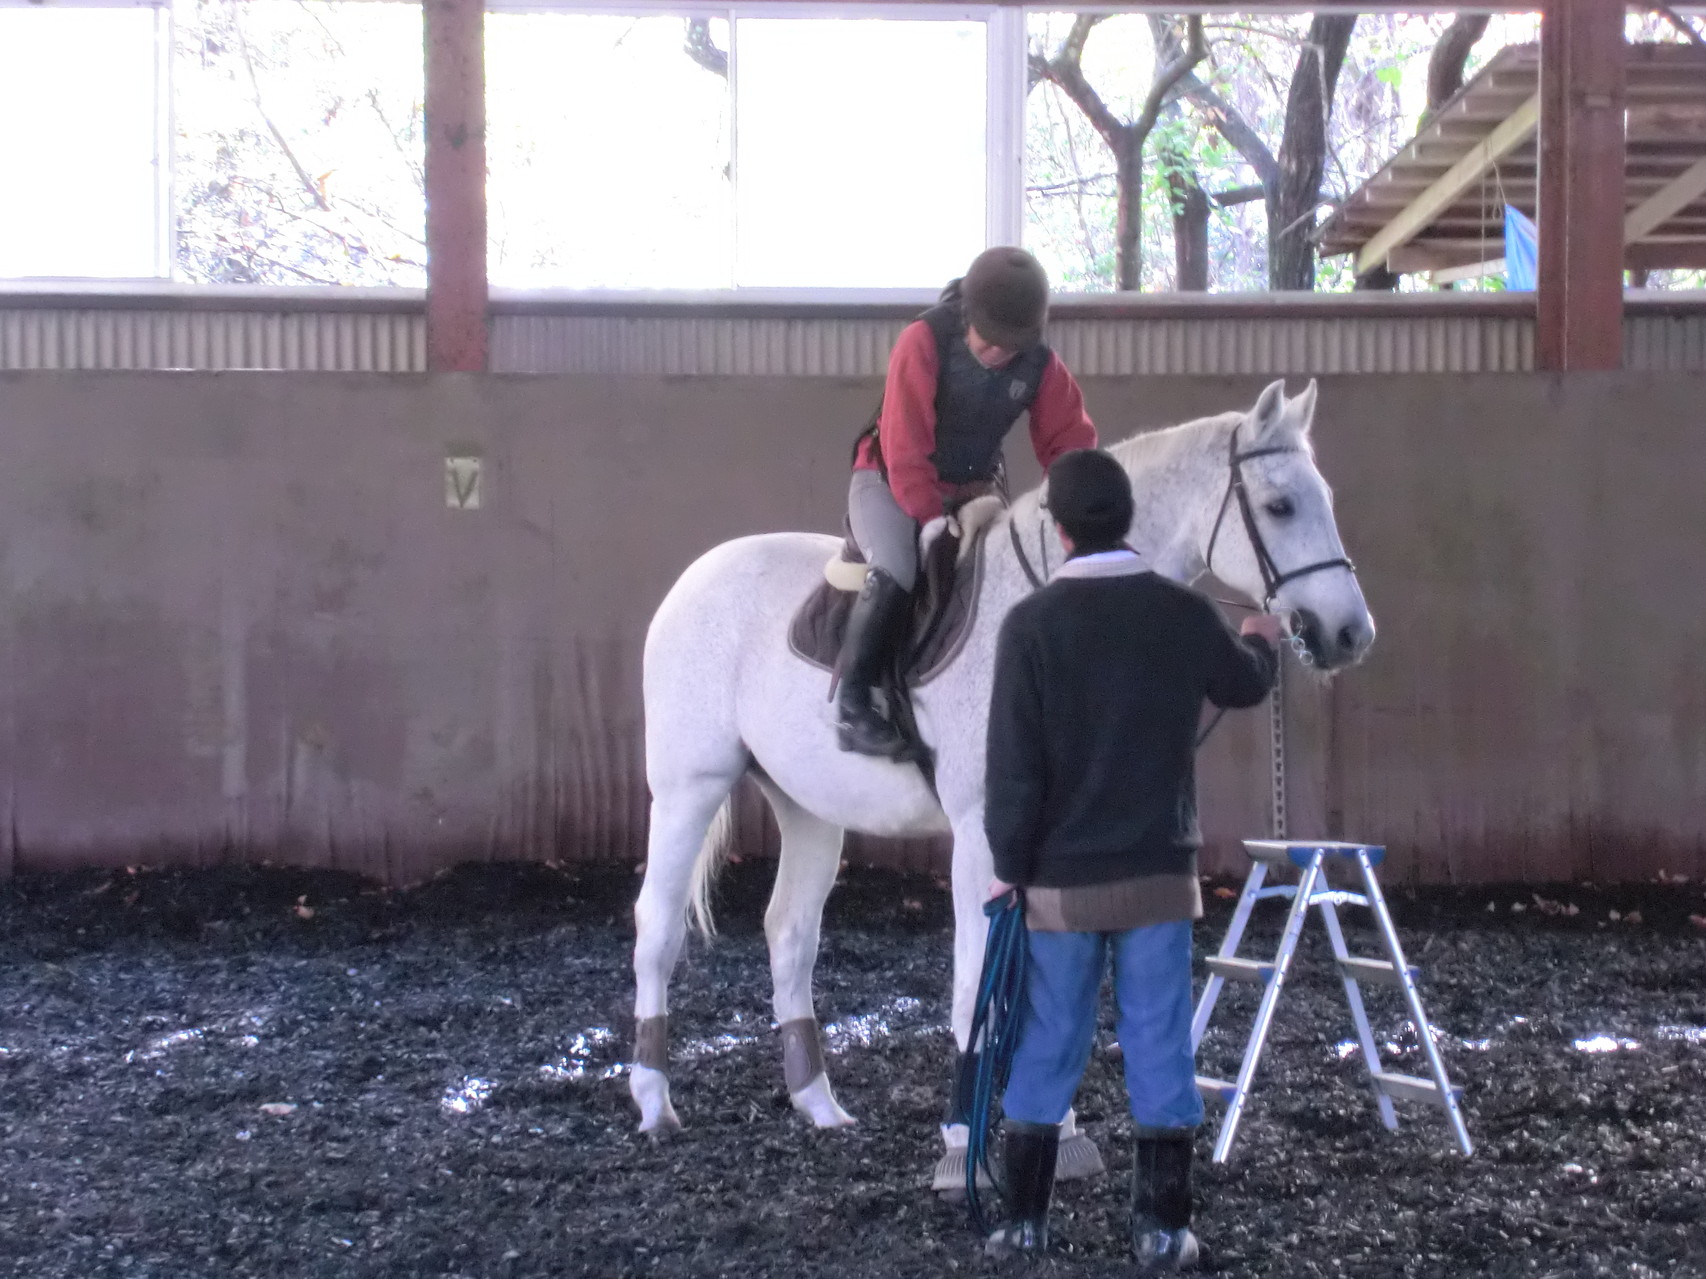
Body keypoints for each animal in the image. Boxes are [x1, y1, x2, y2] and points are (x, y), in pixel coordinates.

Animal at [627, 375, 1371, 1186]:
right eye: (1281, 506)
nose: (1350, 634)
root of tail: (696, 576)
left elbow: (1041, 985)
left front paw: (1055, 1129)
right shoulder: (982, 831)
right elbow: (973, 980)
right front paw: (964, 1141)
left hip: (808, 809)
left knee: (790, 933)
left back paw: (818, 1102)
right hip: (690, 788)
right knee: (657, 927)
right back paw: (654, 1102)